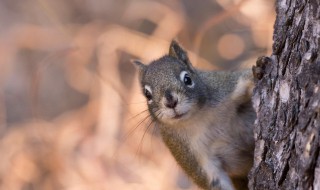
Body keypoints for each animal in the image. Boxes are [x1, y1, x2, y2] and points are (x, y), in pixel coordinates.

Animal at [132, 40, 255, 189]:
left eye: (188, 79)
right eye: (147, 94)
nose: (171, 102)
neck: (199, 118)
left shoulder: (224, 87)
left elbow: (243, 80)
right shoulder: (190, 155)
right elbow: (214, 180)